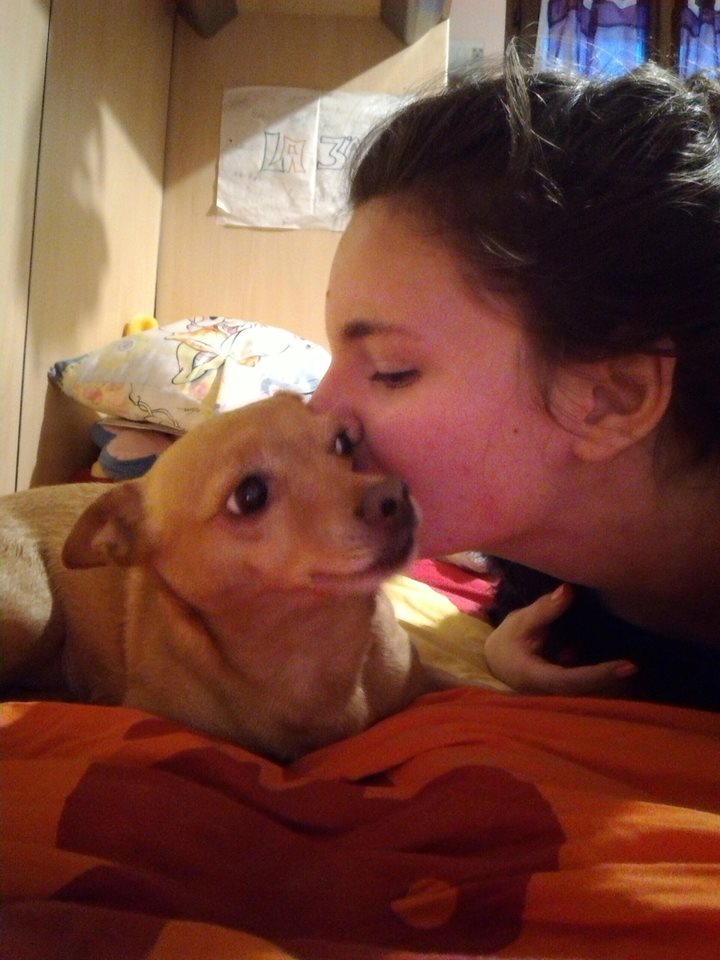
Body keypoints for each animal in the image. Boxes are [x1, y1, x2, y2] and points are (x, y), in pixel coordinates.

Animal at [1, 392, 460, 761]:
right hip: (34, 613)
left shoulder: (428, 681)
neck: (309, 646)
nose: (395, 495)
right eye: (250, 495)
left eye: (343, 443)